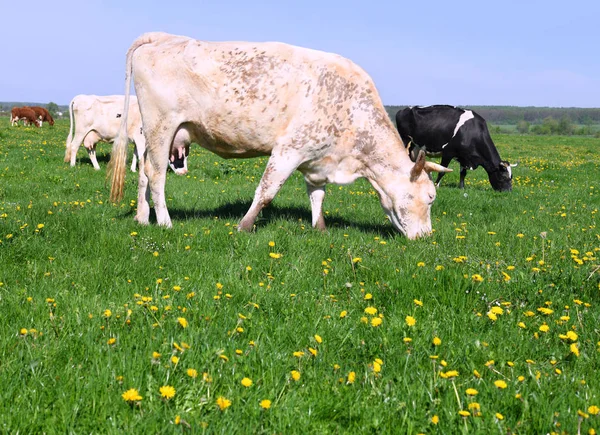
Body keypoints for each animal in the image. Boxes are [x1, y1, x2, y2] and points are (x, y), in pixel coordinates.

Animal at [109, 32, 450, 240]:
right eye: (430, 198)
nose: (427, 236)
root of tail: (164, 37)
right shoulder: (289, 149)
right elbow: (267, 191)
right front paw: (244, 226)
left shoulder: (316, 158)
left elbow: (317, 195)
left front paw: (320, 229)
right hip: (162, 126)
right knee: (156, 175)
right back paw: (165, 222)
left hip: (151, 134)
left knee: (143, 172)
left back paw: (143, 218)